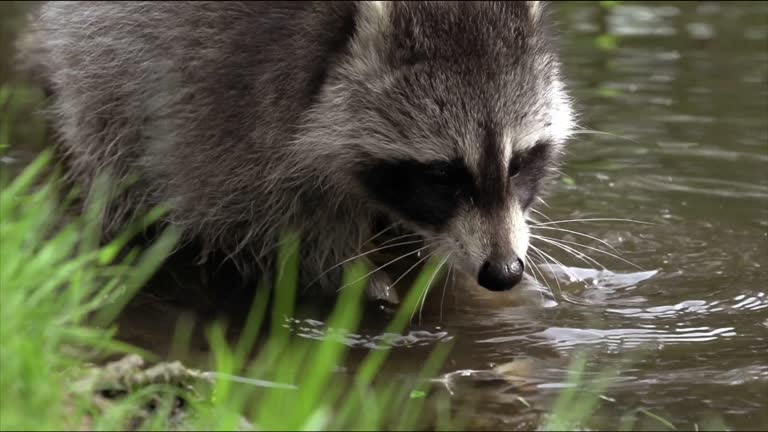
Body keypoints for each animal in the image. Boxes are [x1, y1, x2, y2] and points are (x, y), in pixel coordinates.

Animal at [18, 0, 572, 296]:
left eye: (519, 163)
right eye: (442, 174)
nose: (503, 272)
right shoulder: (223, 111)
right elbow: (265, 231)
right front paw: (366, 286)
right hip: (106, 72)